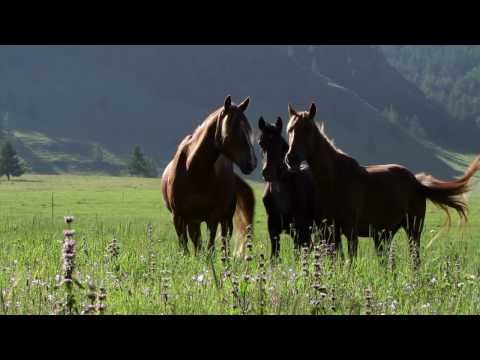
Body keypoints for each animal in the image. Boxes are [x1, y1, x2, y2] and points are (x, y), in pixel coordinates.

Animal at [161, 95, 256, 258]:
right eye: (233, 128)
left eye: (248, 129)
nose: (252, 163)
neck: (193, 170)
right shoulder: (179, 217)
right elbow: (185, 246)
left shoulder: (213, 218)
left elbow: (210, 248)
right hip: (193, 220)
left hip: (225, 218)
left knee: (224, 240)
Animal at [258, 116, 318, 258]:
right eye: (261, 143)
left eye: (280, 145)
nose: (267, 172)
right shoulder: (273, 229)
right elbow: (274, 256)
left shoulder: (301, 229)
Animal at [284, 102, 480, 266]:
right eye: (290, 130)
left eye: (308, 129)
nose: (290, 159)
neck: (334, 180)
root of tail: (417, 182)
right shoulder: (329, 232)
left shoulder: (350, 231)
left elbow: (351, 261)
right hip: (384, 235)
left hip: (413, 229)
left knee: (415, 259)